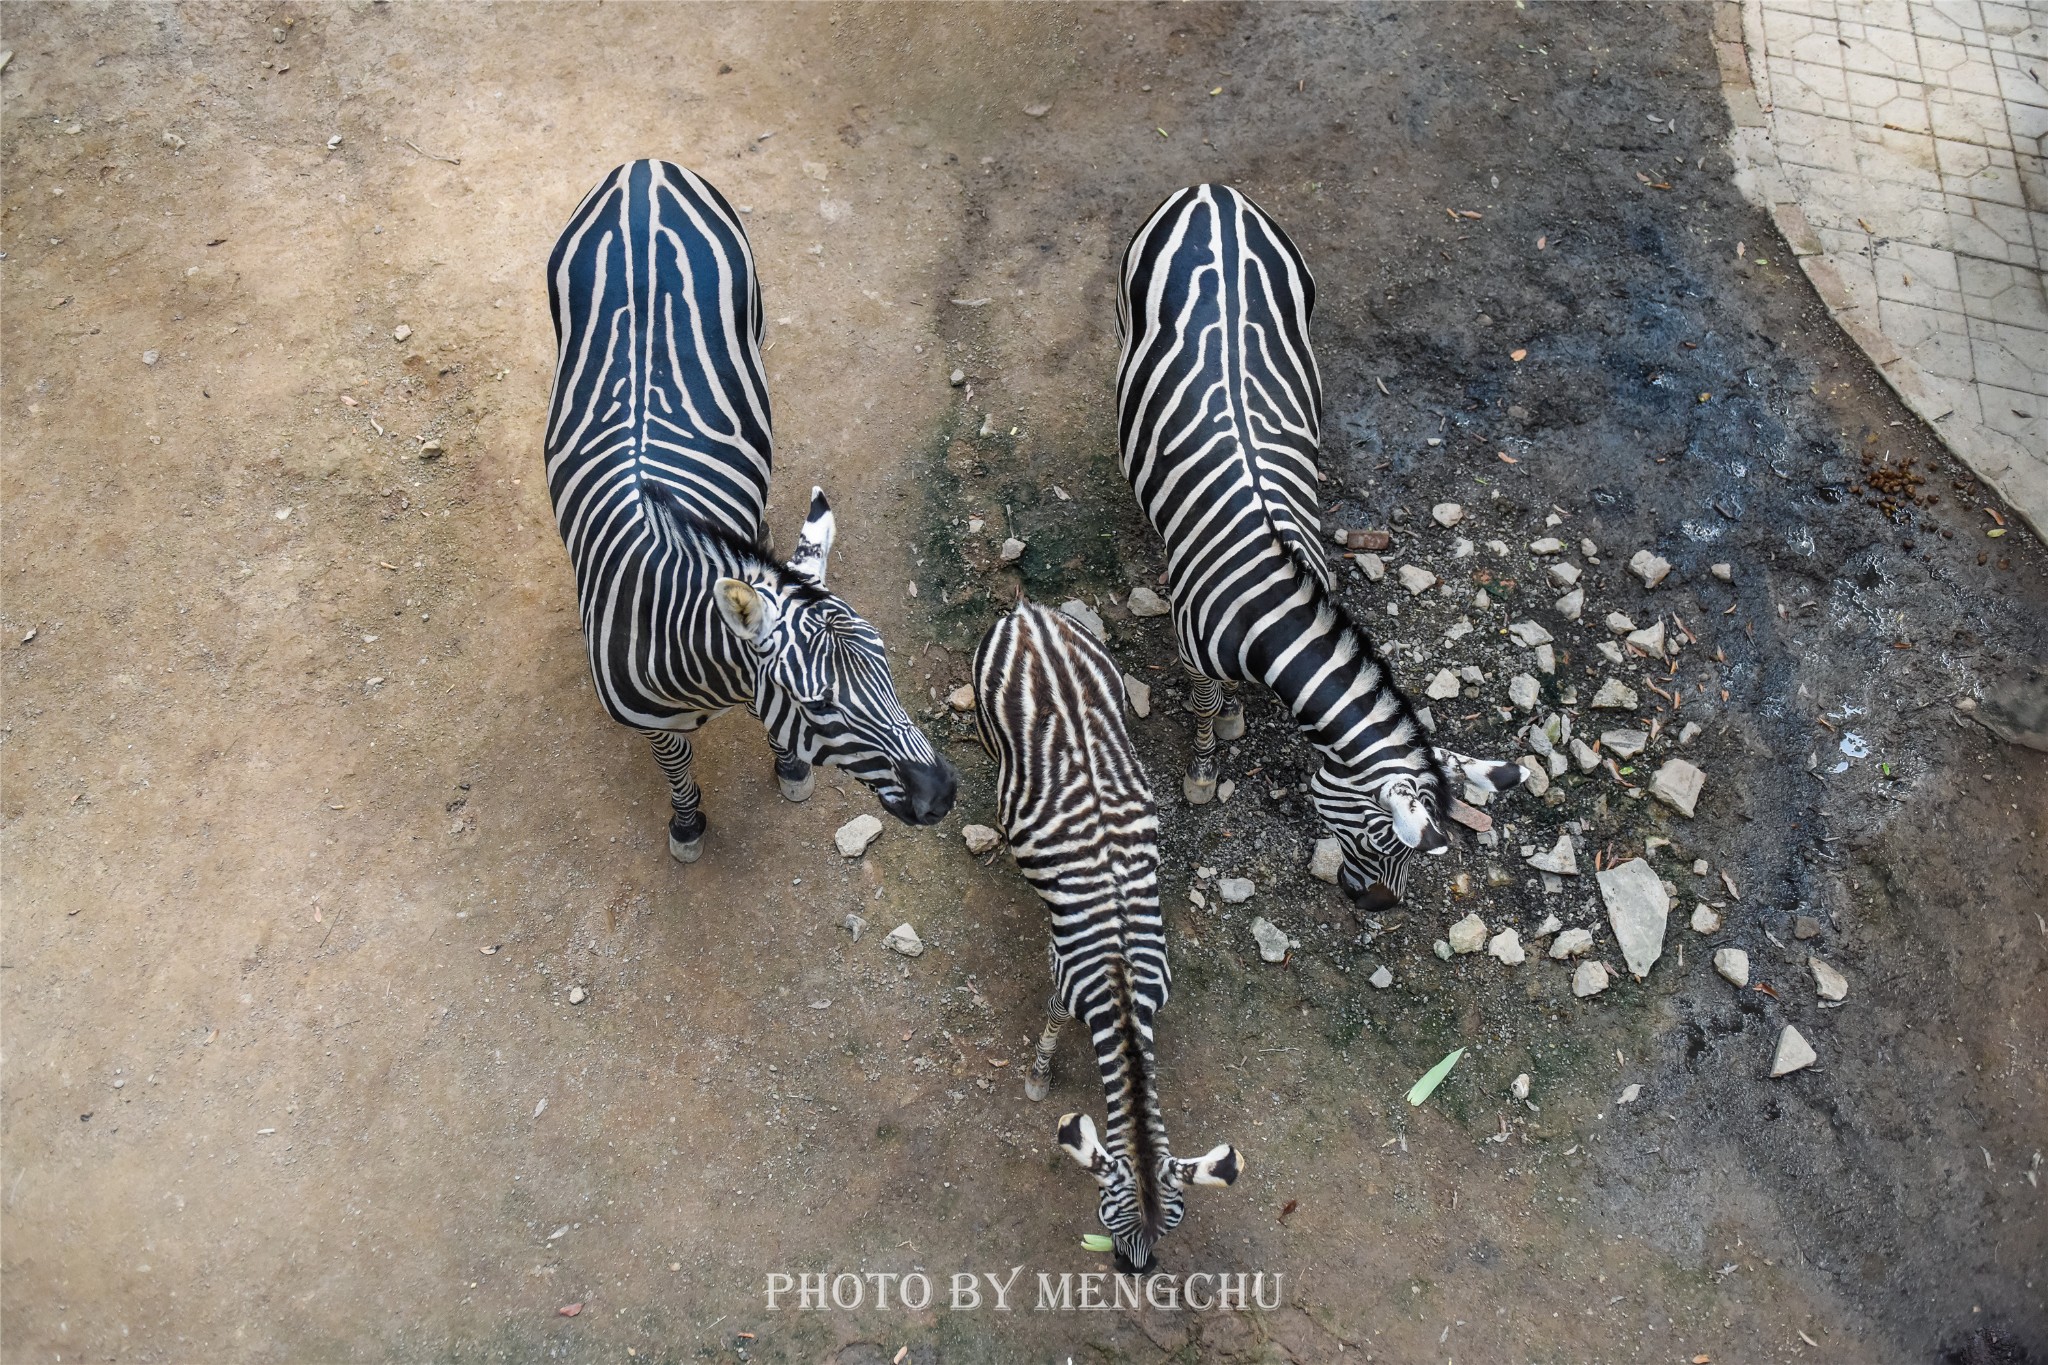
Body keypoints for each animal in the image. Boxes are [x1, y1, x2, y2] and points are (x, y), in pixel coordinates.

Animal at [544, 162, 958, 863]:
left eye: (888, 666)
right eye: (819, 708)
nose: (944, 794)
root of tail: (642, 169)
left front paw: (789, 769)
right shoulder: (653, 724)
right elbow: (677, 766)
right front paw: (687, 824)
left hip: (753, 325)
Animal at [978, 601, 1245, 1277]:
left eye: (1172, 1223)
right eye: (1109, 1218)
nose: (1135, 1271)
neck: (1122, 985)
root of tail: (1029, 617)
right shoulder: (1066, 972)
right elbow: (1051, 1017)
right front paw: (1038, 1074)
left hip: (1114, 686)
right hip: (995, 735)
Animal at [1122, 181, 1523, 908]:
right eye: (1376, 839)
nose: (1378, 907)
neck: (1266, 610)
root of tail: (1211, 192)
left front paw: (1236, 718)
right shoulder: (1191, 651)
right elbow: (1204, 703)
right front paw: (1204, 765)